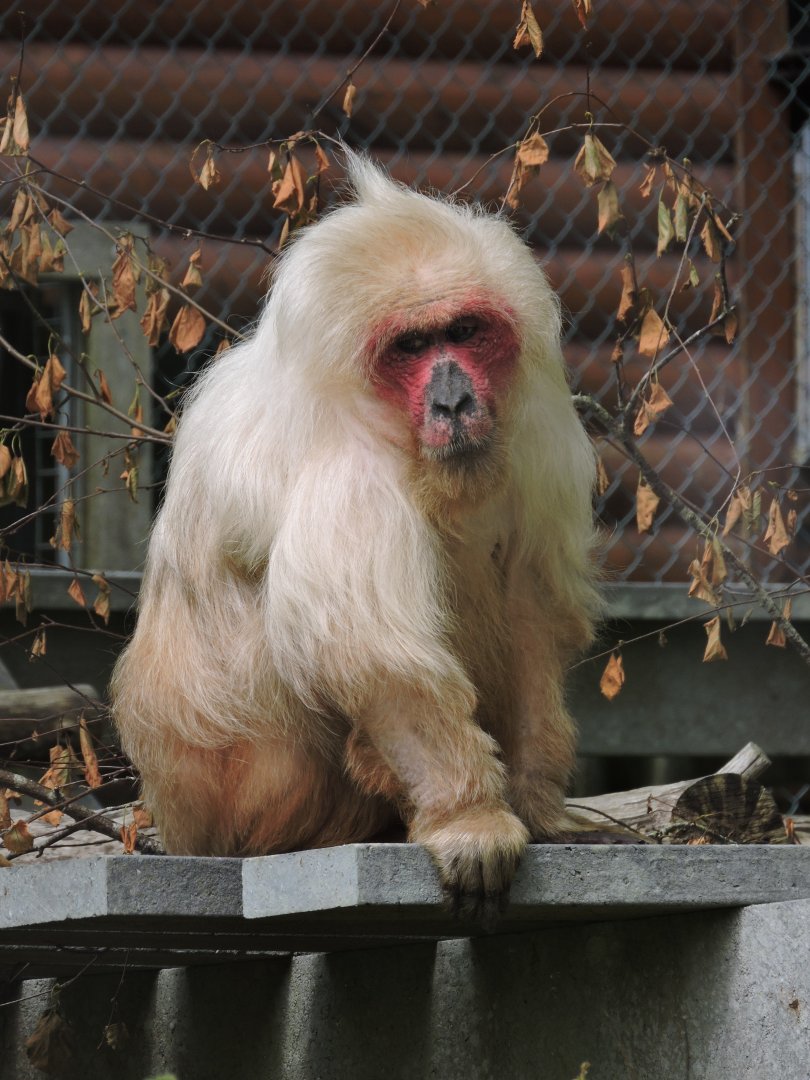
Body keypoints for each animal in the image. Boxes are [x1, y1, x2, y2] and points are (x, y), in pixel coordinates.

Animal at [111, 154, 603, 919]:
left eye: (465, 331)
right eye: (413, 346)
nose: (454, 399)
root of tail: (183, 824)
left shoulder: (538, 432)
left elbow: (531, 606)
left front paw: (537, 805)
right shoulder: (347, 472)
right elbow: (373, 657)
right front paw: (469, 818)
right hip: (257, 798)